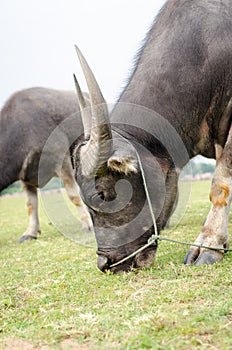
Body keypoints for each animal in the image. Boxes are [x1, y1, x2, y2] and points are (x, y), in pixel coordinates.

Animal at [0, 87, 92, 242]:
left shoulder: (60, 159)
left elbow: (73, 195)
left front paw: (87, 224)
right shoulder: (24, 175)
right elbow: (31, 204)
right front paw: (30, 232)